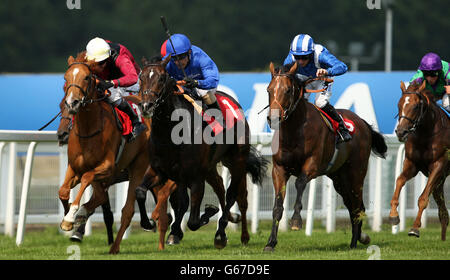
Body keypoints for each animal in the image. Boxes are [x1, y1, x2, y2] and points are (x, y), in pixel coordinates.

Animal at [59, 52, 153, 254]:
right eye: (66, 77)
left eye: (87, 77)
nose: (72, 103)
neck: (88, 130)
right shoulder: (74, 167)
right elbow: (63, 191)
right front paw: (68, 215)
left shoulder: (107, 167)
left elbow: (87, 178)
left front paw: (71, 217)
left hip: (139, 166)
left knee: (127, 210)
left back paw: (115, 246)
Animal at [139, 55, 268, 249]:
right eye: (141, 77)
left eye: (161, 78)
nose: (147, 105)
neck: (171, 131)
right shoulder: (160, 170)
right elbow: (142, 192)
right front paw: (151, 224)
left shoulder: (195, 176)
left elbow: (193, 220)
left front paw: (209, 211)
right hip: (209, 167)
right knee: (219, 188)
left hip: (236, 161)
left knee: (234, 195)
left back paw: (227, 232)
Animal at [264, 62, 386, 250]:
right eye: (269, 90)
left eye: (288, 90)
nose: (274, 118)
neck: (294, 131)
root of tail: (363, 123)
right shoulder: (279, 169)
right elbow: (277, 206)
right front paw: (271, 242)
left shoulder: (312, 165)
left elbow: (300, 183)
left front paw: (296, 221)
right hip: (339, 179)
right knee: (352, 206)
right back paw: (359, 238)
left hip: (356, 173)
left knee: (358, 206)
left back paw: (355, 242)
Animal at [388, 80, 448, 240]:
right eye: (399, 104)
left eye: (415, 106)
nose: (401, 132)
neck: (425, 134)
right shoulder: (412, 164)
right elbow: (399, 181)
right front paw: (393, 216)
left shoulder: (439, 165)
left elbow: (423, 198)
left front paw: (415, 228)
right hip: (440, 182)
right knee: (443, 212)